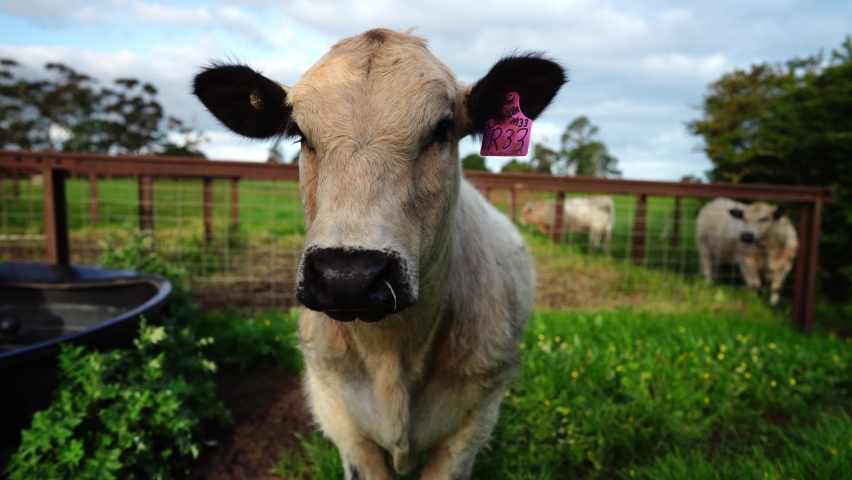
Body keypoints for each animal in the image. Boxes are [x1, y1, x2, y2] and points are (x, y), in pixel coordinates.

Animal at [192, 28, 566, 479]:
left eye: (442, 130)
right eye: (300, 133)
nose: (347, 276)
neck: (391, 354)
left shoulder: (474, 423)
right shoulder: (338, 414)